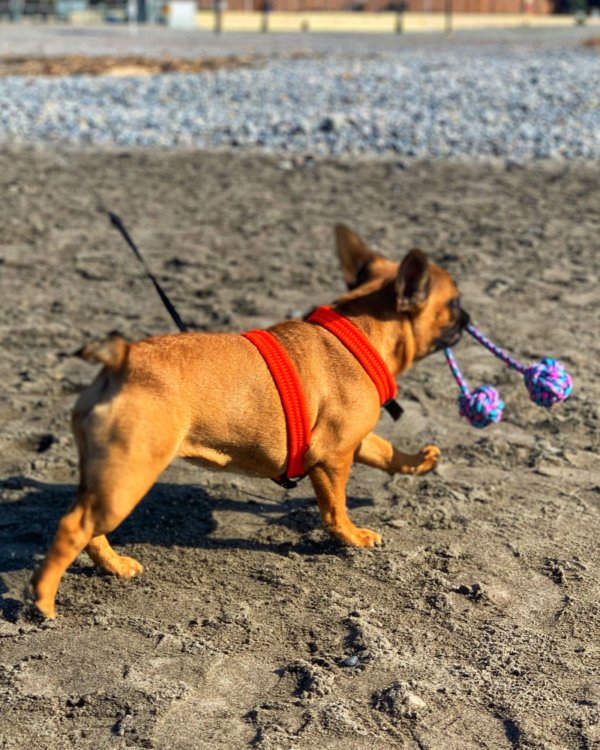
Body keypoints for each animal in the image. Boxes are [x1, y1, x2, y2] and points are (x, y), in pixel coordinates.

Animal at [30, 226, 466, 620]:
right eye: (455, 302)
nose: (468, 315)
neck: (360, 330)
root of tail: (121, 360)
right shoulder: (332, 458)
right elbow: (335, 508)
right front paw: (353, 537)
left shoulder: (354, 441)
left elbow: (386, 451)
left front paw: (419, 461)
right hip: (129, 477)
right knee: (73, 527)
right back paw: (43, 600)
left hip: (106, 478)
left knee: (89, 527)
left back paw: (114, 566)